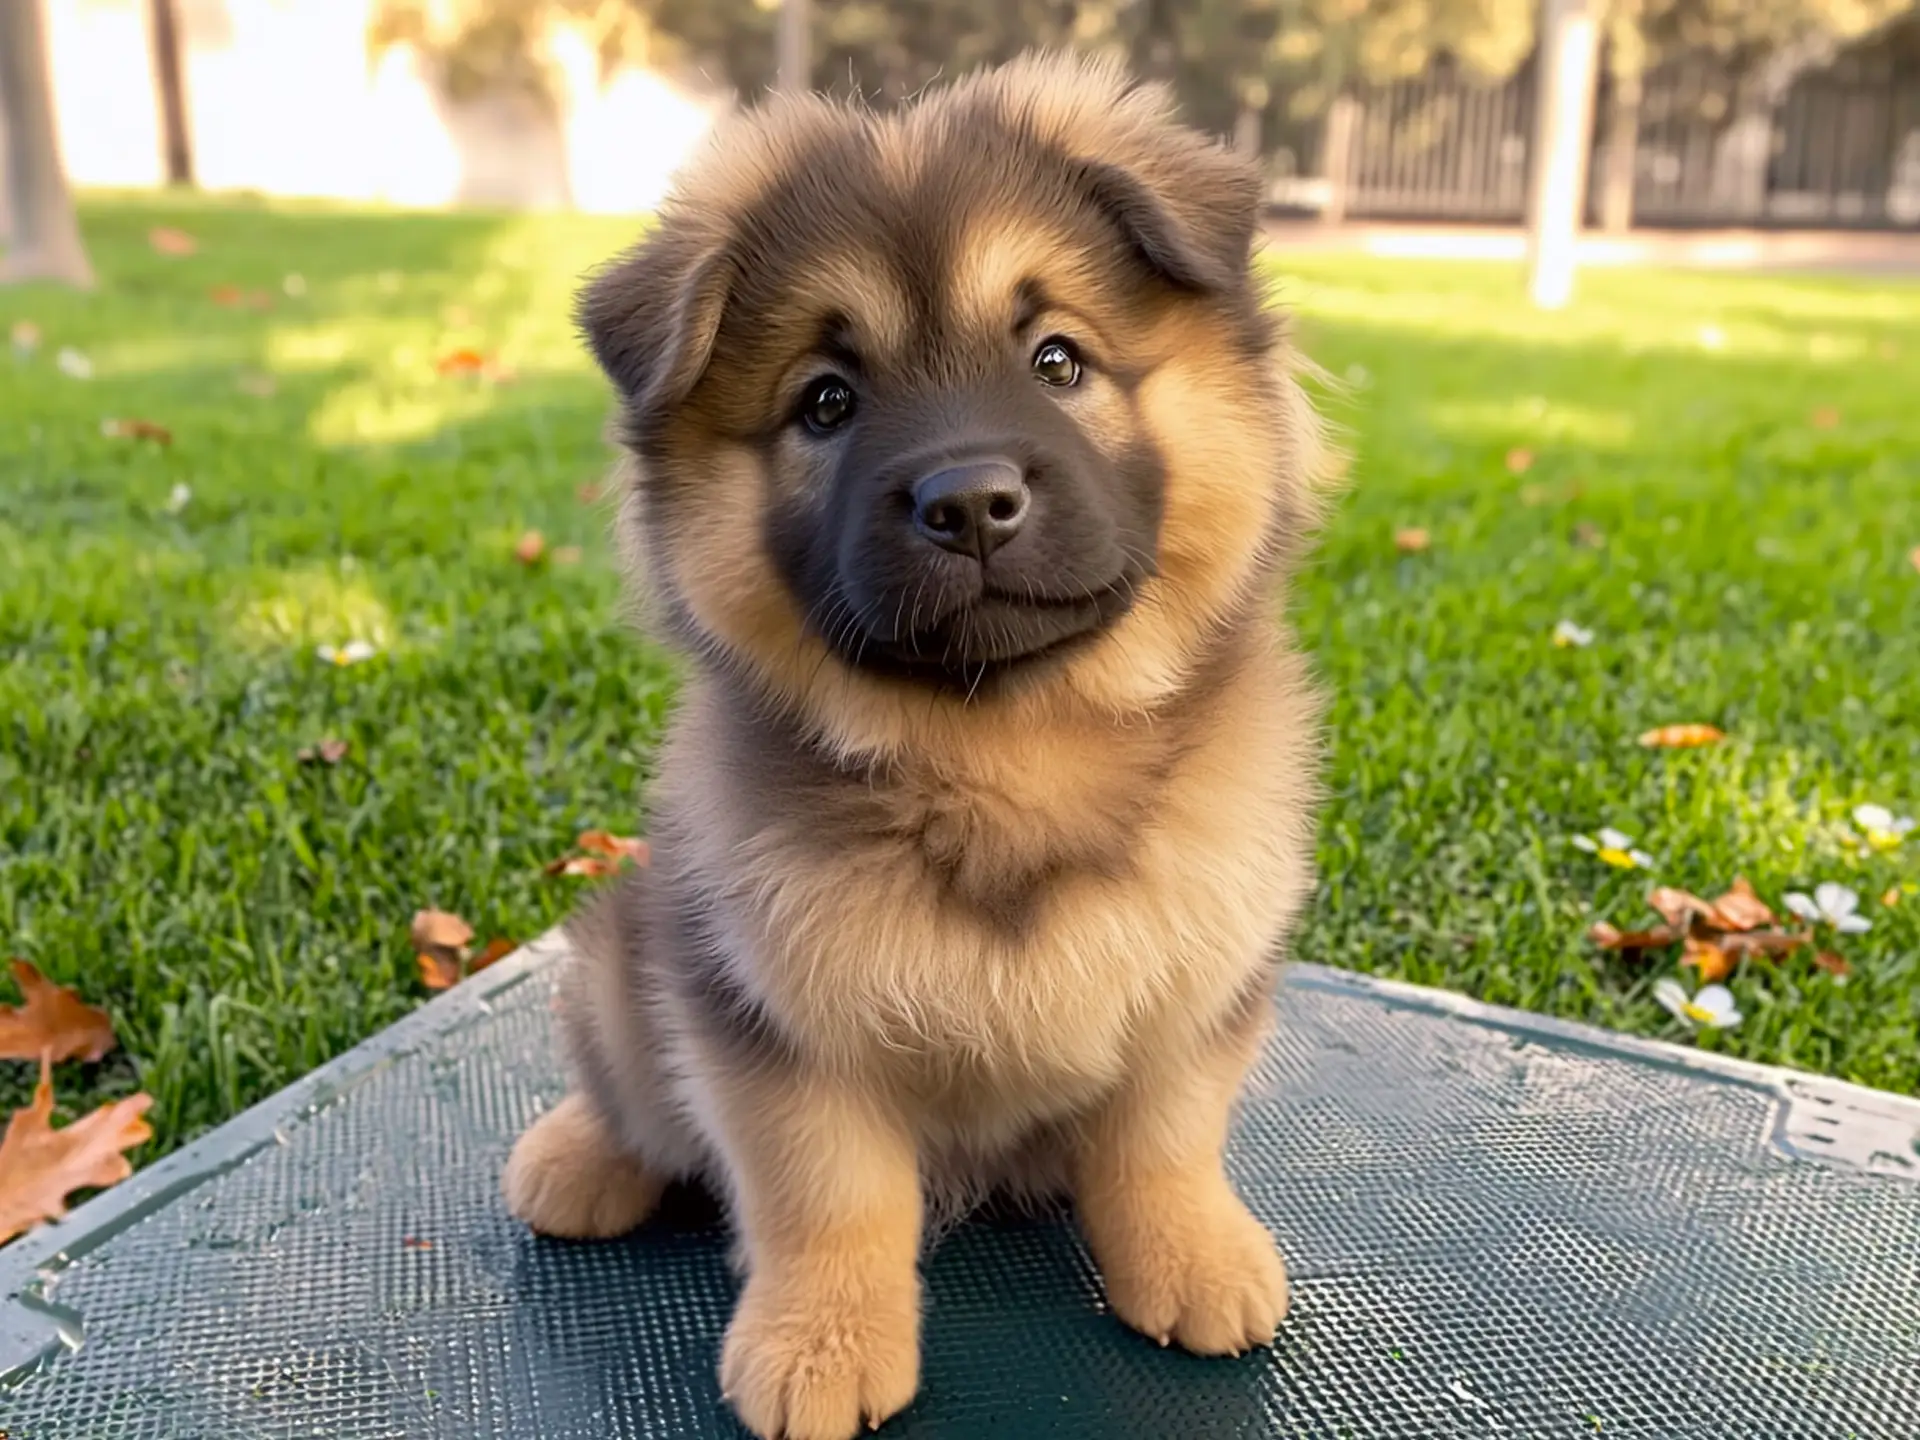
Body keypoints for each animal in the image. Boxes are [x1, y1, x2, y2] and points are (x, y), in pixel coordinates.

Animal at [503, 48, 1328, 1440]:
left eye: (1057, 361)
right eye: (827, 403)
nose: (971, 502)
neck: (1005, 745)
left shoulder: (1199, 974)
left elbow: (1164, 1138)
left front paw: (1192, 1257)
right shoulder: (772, 1014)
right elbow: (826, 1195)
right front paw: (821, 1346)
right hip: (631, 953)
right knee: (632, 1091)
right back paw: (578, 1156)